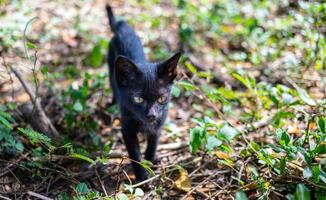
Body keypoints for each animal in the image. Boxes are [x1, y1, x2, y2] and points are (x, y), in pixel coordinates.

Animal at [105, 5, 181, 181]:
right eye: (138, 99)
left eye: (161, 98)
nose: (151, 115)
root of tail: (123, 27)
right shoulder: (127, 129)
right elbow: (134, 154)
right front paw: (142, 178)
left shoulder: (159, 125)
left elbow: (152, 145)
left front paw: (151, 162)